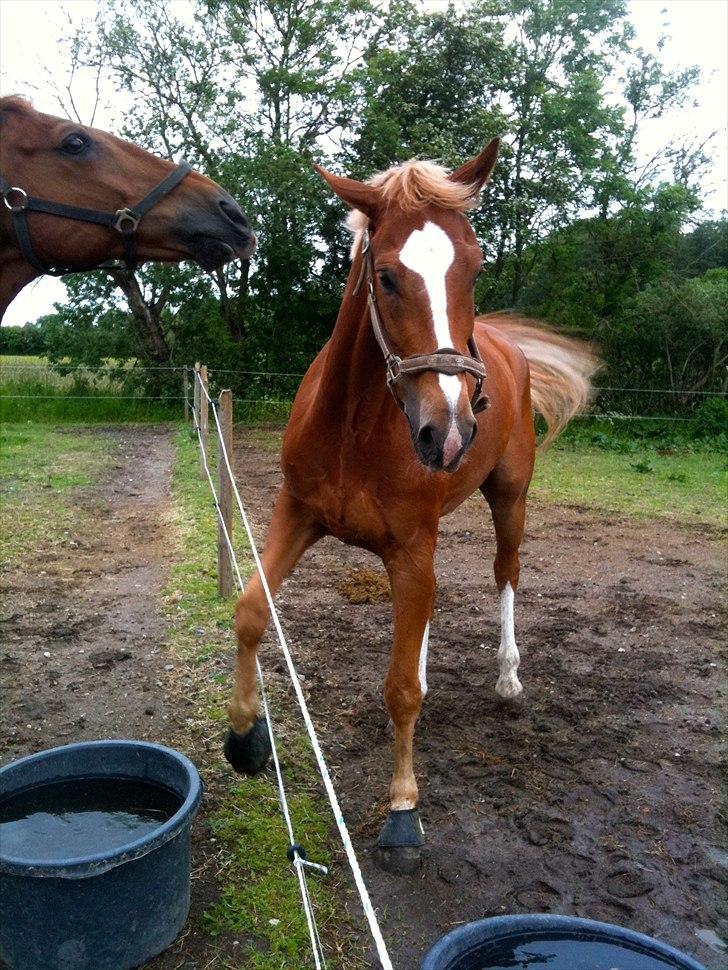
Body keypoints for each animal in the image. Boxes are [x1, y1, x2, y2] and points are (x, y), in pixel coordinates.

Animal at [226, 138, 596, 868]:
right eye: (388, 275)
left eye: (474, 268)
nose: (448, 429)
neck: (355, 427)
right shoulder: (297, 514)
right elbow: (252, 610)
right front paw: (245, 739)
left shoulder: (409, 544)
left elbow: (399, 690)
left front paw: (403, 812)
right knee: (429, 603)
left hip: (508, 498)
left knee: (505, 573)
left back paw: (508, 677)